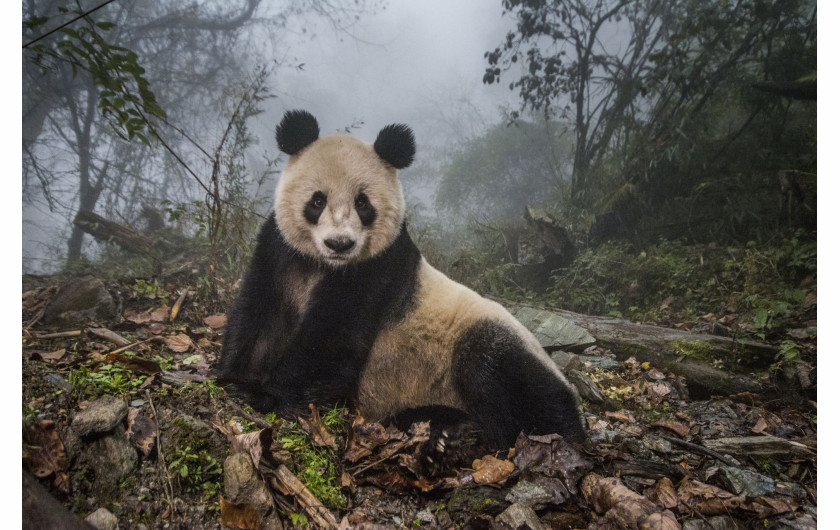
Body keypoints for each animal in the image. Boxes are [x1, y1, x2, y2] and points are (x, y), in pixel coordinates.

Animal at [217, 110, 584, 446]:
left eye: (363, 203)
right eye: (317, 200)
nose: (340, 243)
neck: (325, 265)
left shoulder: (376, 269)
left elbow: (331, 340)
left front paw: (267, 395)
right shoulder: (279, 251)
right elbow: (258, 313)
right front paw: (233, 377)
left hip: (494, 341)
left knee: (502, 376)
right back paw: (443, 425)